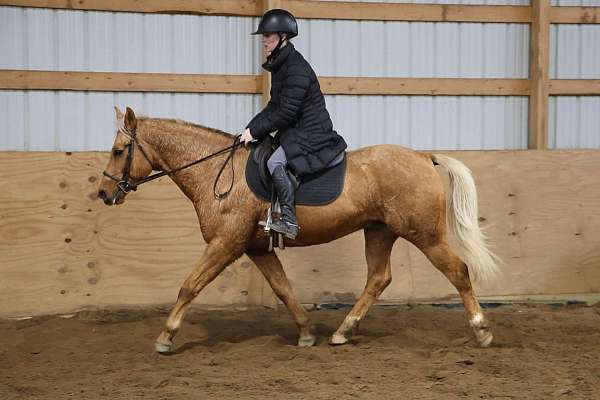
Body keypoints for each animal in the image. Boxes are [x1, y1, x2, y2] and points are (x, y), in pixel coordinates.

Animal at [98, 106, 500, 354]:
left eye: (119, 150)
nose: (103, 193)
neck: (217, 172)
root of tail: (422, 157)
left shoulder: (225, 243)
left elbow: (189, 286)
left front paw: (165, 337)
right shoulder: (255, 247)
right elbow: (283, 288)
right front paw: (306, 332)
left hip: (424, 235)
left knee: (457, 270)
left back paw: (482, 329)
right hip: (379, 231)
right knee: (378, 278)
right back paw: (343, 331)